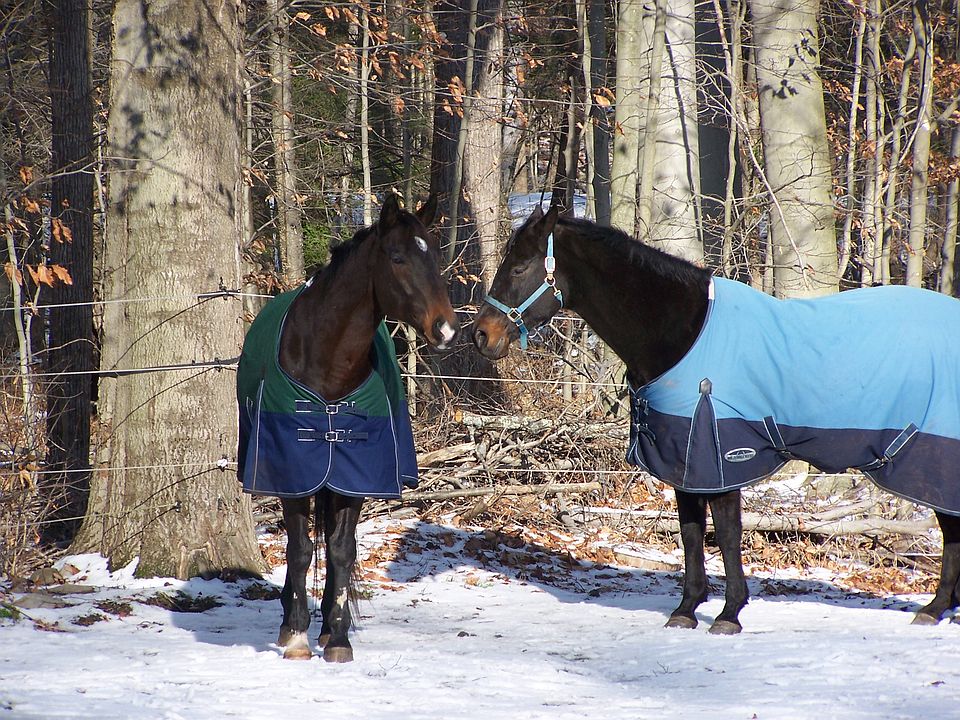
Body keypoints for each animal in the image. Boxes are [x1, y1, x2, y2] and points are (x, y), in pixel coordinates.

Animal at [236, 194, 458, 661]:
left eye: (435, 257)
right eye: (397, 257)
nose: (446, 329)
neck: (328, 365)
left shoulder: (353, 476)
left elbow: (341, 551)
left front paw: (336, 637)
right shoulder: (293, 472)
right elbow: (300, 550)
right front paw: (296, 635)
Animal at [473, 204, 960, 634]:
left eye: (519, 268)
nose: (480, 335)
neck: (683, 334)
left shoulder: (722, 458)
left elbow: (725, 534)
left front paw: (729, 614)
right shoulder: (683, 461)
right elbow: (690, 534)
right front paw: (686, 610)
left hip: (930, 461)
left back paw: (934, 609)